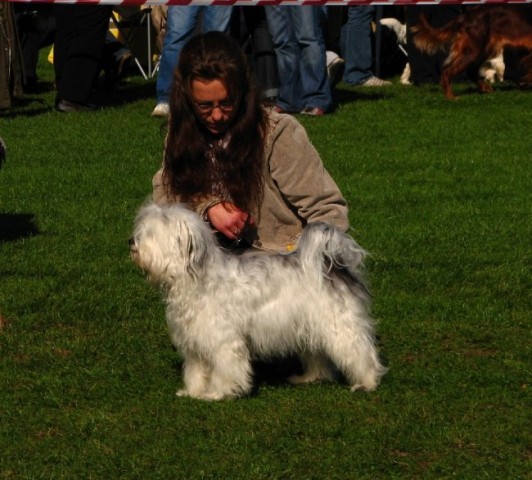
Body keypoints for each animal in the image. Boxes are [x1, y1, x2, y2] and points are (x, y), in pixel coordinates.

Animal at [129, 202, 386, 402]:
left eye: (151, 233)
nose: (131, 241)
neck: (196, 279)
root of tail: (332, 267)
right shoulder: (195, 341)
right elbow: (196, 371)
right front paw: (193, 392)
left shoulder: (224, 341)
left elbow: (225, 368)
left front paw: (218, 393)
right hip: (309, 326)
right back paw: (309, 378)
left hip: (340, 326)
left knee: (361, 352)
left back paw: (367, 383)